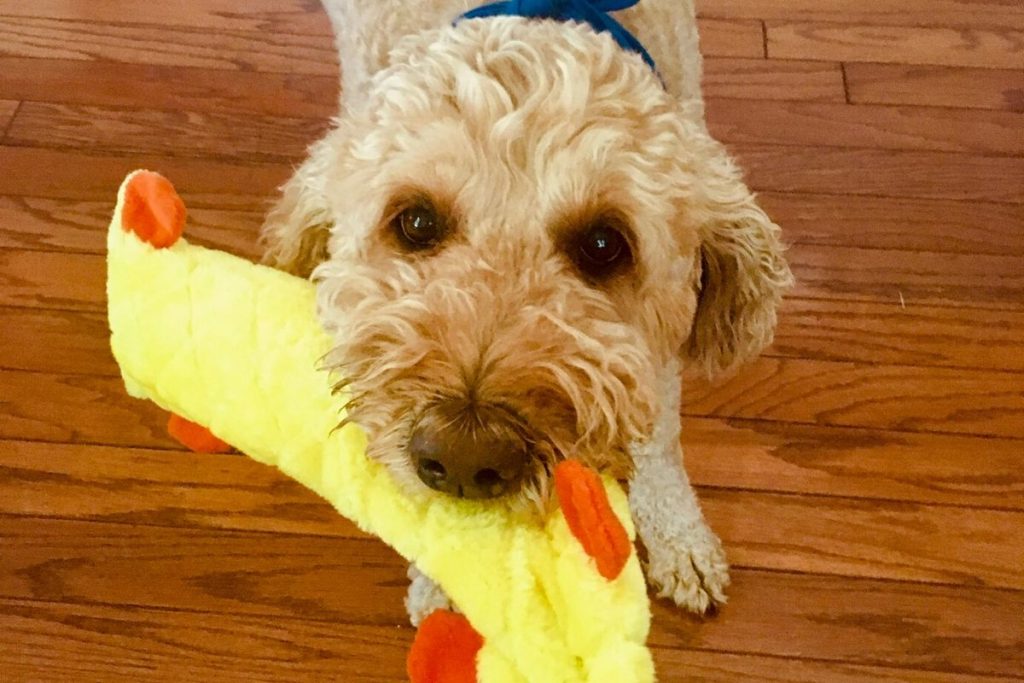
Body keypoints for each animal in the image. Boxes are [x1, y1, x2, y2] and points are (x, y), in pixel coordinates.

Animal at [260, 0, 794, 626]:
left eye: (604, 244)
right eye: (415, 221)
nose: (464, 457)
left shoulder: (656, 359)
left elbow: (659, 442)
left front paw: (679, 538)